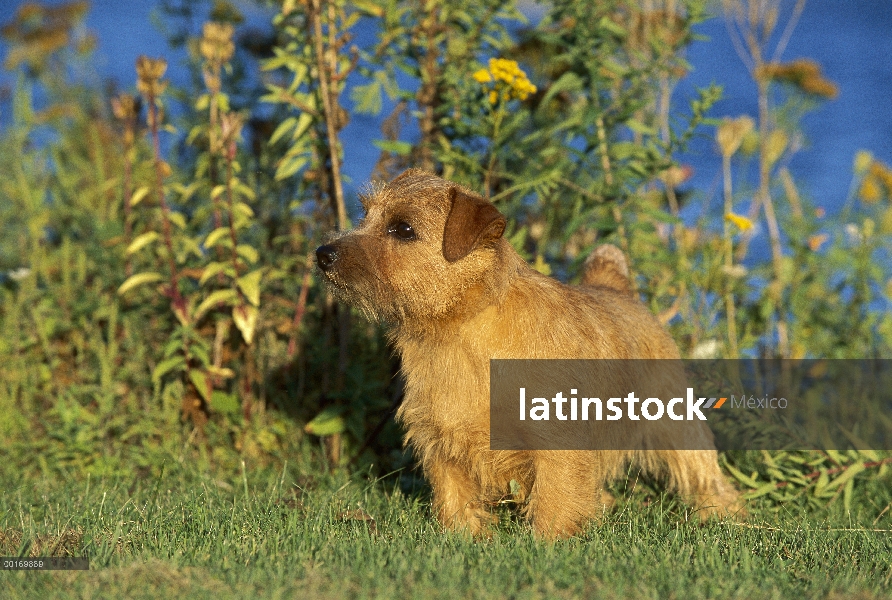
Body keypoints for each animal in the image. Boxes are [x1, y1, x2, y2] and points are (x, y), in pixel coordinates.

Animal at [318, 168, 744, 540]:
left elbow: (556, 499)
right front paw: (464, 540)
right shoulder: (440, 437)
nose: (323, 253)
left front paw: (548, 546)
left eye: (403, 229)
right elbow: (455, 498)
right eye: (365, 214)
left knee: (704, 473)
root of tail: (617, 290)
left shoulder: (556, 441)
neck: (460, 333)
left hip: (674, 424)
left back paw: (725, 516)